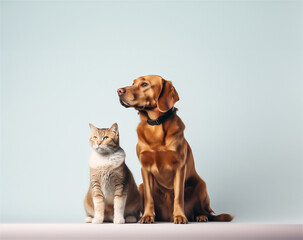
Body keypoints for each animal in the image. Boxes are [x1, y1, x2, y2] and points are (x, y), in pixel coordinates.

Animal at [117, 75, 234, 223]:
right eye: (133, 83)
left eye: (144, 84)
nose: (119, 91)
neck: (155, 125)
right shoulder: (145, 168)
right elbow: (149, 197)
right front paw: (148, 216)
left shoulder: (179, 167)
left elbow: (178, 196)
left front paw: (179, 216)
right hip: (141, 186)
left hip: (201, 185)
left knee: (206, 211)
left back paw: (200, 216)